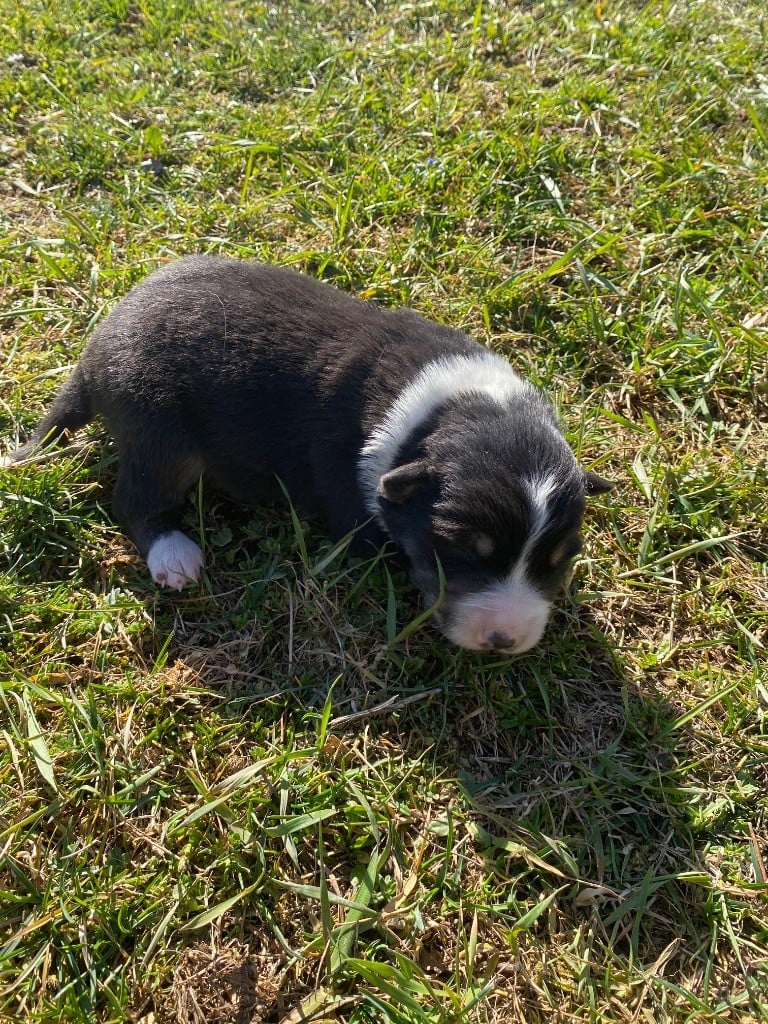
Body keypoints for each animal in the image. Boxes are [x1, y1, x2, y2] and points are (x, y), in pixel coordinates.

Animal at [3, 258, 610, 655]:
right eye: (461, 551)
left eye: (560, 559)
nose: (506, 640)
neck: (449, 408)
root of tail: (94, 351)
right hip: (157, 425)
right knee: (134, 498)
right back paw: (174, 555)